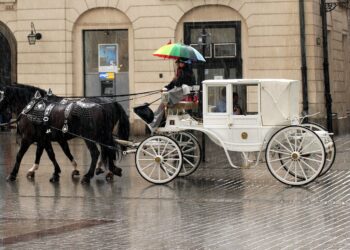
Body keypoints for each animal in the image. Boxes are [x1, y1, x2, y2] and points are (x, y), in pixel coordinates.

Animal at [0, 83, 129, 183]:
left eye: (0, 96)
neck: (32, 109)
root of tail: (102, 106)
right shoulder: (45, 139)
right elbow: (51, 154)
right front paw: (55, 172)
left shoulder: (28, 138)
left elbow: (20, 155)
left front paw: (12, 174)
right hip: (103, 135)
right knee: (107, 149)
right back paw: (112, 170)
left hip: (89, 136)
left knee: (96, 153)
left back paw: (88, 176)